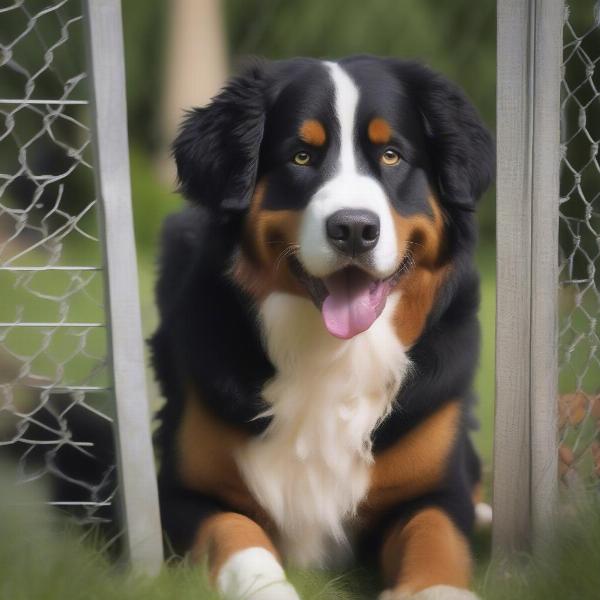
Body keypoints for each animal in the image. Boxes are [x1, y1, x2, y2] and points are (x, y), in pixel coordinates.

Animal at [152, 56, 494, 600]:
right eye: (301, 156)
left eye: (392, 155)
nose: (354, 228)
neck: (334, 353)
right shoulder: (183, 493)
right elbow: (236, 532)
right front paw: (268, 588)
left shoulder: (437, 492)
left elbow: (436, 539)